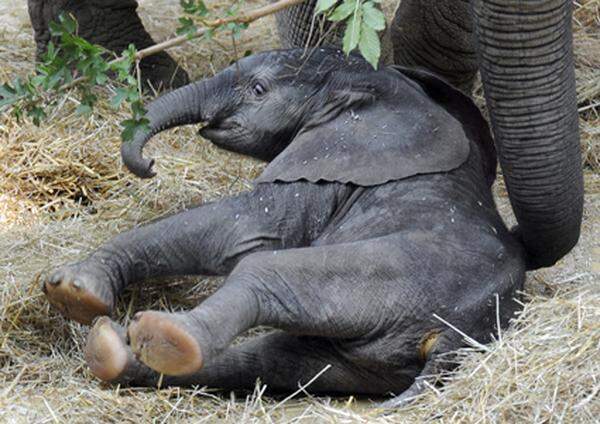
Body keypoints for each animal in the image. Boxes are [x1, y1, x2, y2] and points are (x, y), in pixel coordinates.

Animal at [42, 48, 524, 402]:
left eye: (258, 88)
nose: (149, 164)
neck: (385, 89)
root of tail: (447, 342)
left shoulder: (324, 172)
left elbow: (240, 227)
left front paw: (74, 290)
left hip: (393, 274)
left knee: (265, 275)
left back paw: (163, 337)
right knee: (275, 360)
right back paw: (112, 354)